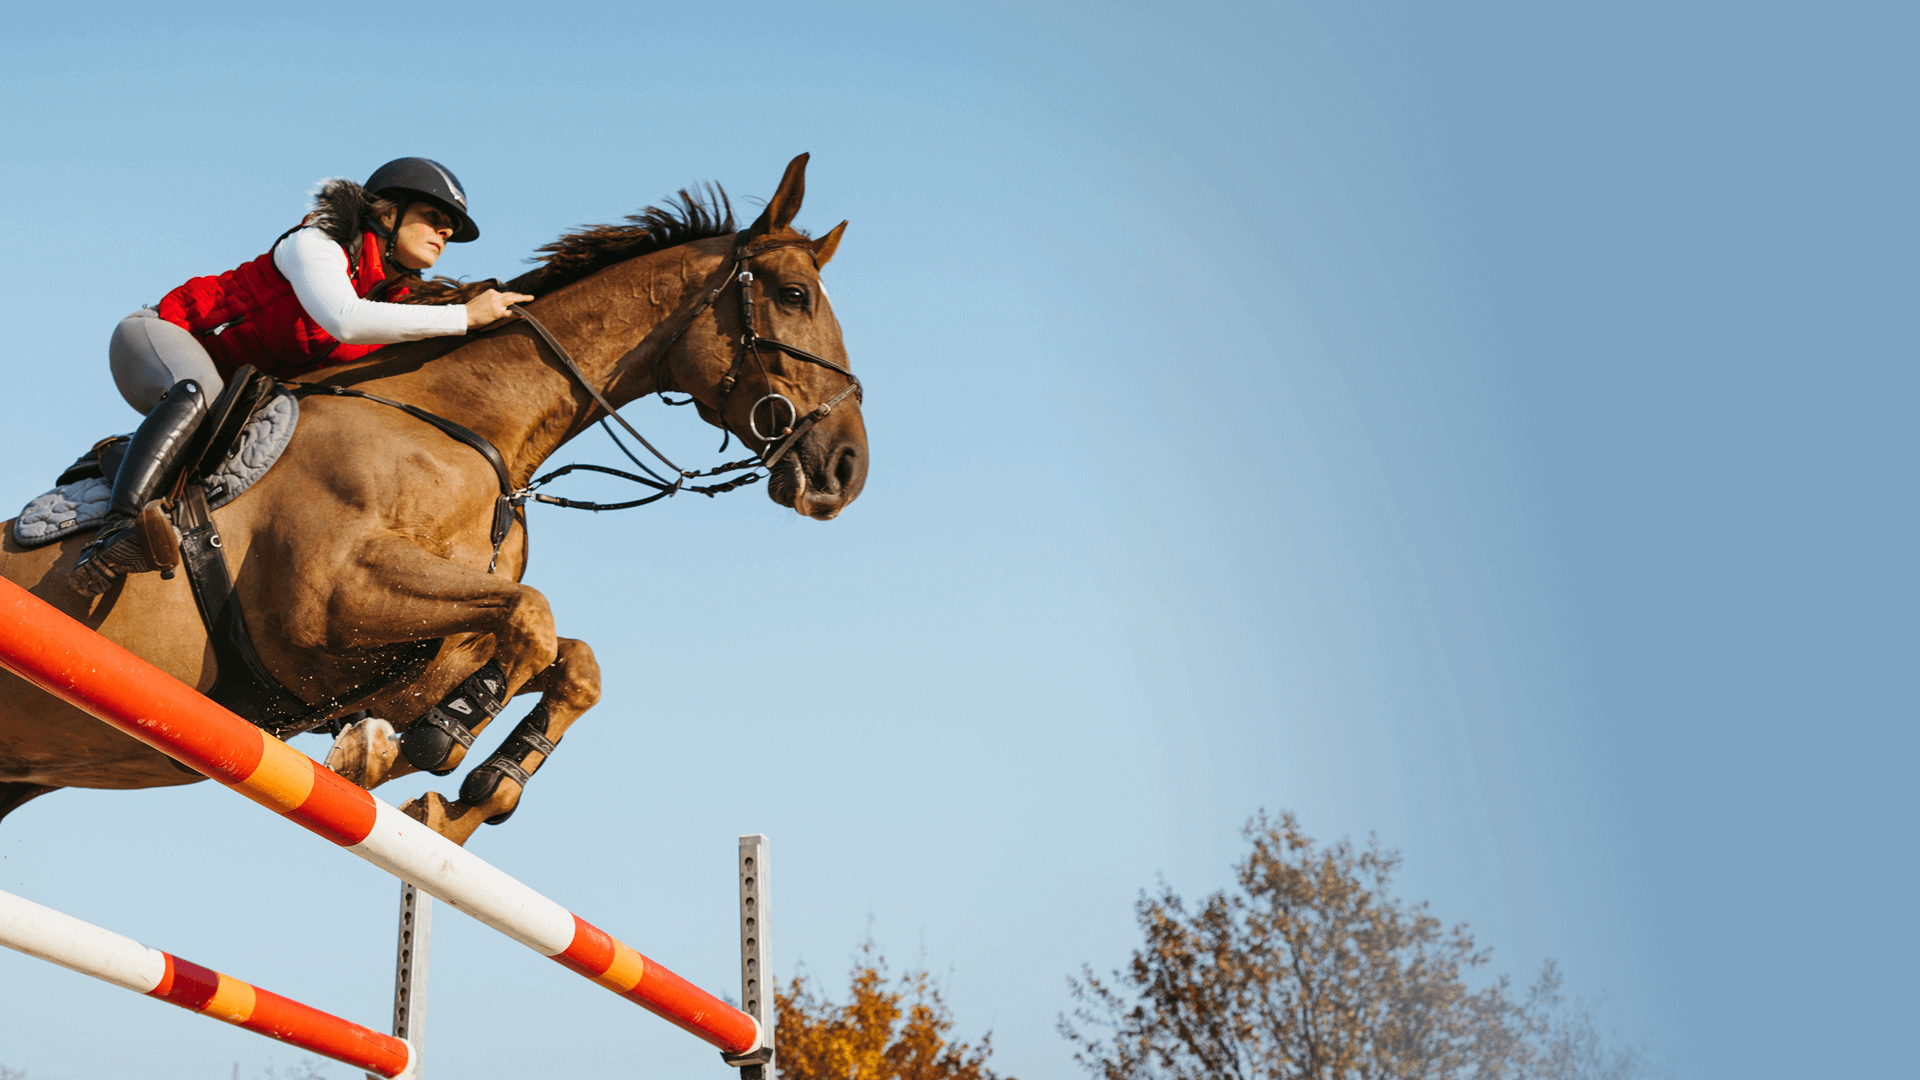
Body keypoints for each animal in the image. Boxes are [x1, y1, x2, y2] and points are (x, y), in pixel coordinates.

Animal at [0, 154, 865, 846]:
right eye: (793, 295)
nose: (845, 469)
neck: (465, 426)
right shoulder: (332, 601)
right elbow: (531, 621)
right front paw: (425, 740)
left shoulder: (415, 637)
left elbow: (570, 660)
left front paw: (462, 791)